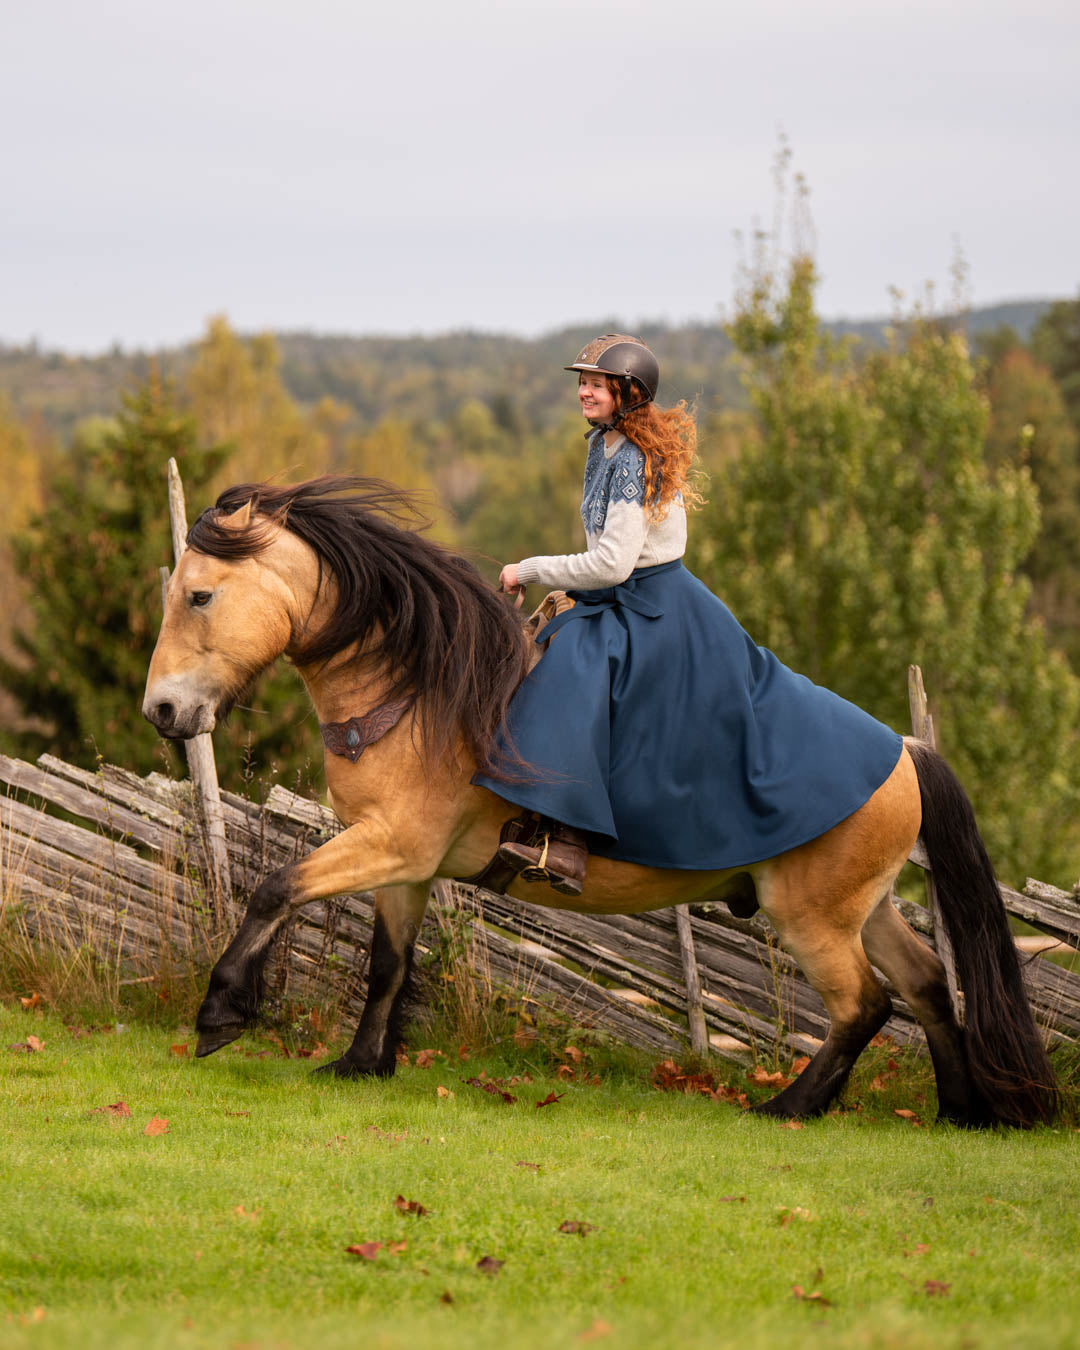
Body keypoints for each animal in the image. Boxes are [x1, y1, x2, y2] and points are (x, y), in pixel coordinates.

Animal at [139, 475, 1058, 1128]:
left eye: (199, 595)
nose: (163, 711)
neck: (423, 689)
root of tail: (902, 752)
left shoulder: (391, 843)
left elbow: (275, 888)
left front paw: (222, 1011)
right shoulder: (403, 860)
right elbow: (386, 963)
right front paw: (363, 1063)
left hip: (811, 918)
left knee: (864, 1005)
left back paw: (791, 1106)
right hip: (864, 907)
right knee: (930, 985)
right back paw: (957, 1110)